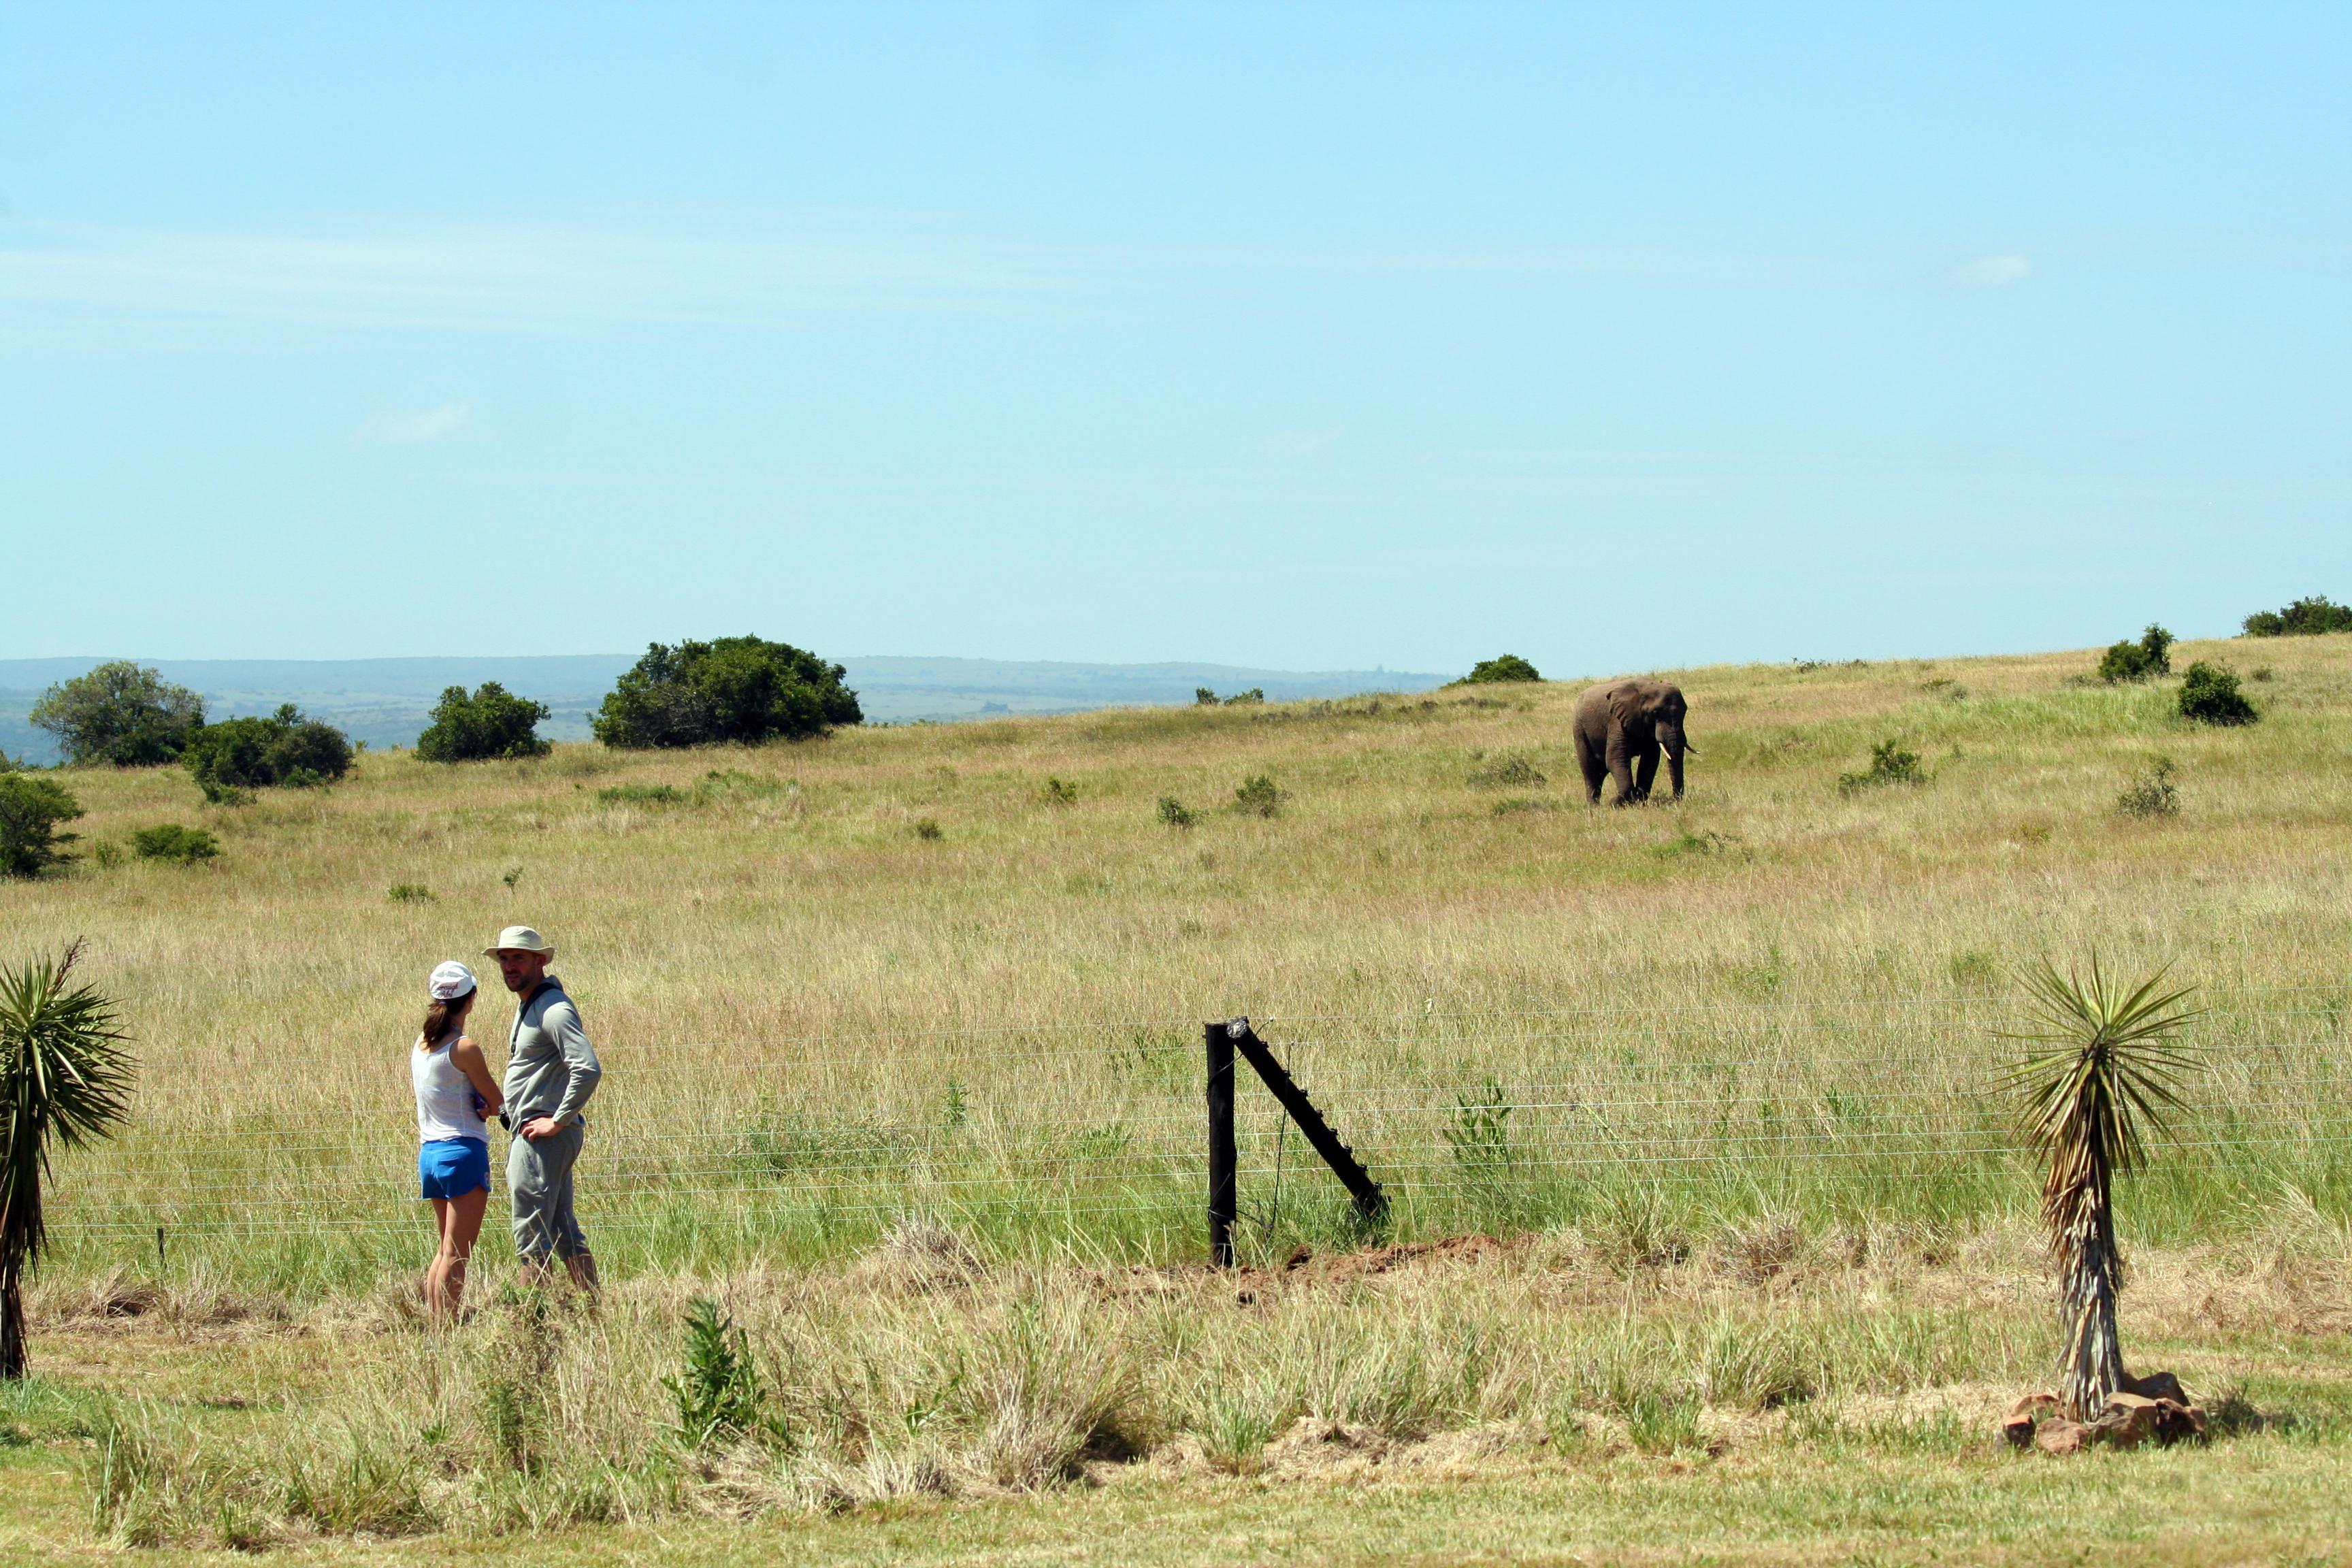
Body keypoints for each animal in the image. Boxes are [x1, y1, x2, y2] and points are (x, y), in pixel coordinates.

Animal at [1571, 681, 1703, 808]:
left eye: (1685, 711)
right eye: (1655, 713)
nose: (1674, 801)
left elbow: (1650, 761)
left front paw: (1638, 801)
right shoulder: (1617, 721)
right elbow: (1615, 759)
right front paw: (1616, 803)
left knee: (1601, 771)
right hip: (1579, 730)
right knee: (1590, 769)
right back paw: (1594, 808)